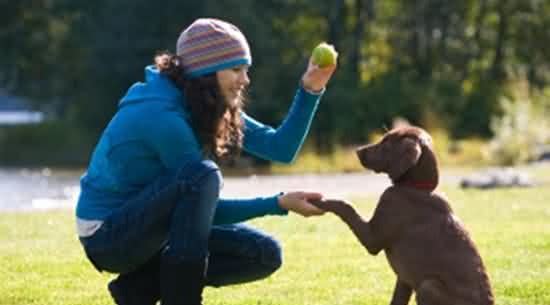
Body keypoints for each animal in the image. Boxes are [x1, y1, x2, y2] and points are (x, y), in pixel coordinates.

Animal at [312, 125, 498, 304]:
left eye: (386, 143)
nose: (358, 150)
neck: (417, 187)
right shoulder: (404, 278)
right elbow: (397, 299)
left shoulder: (373, 238)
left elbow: (346, 206)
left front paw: (320, 201)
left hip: (427, 286)